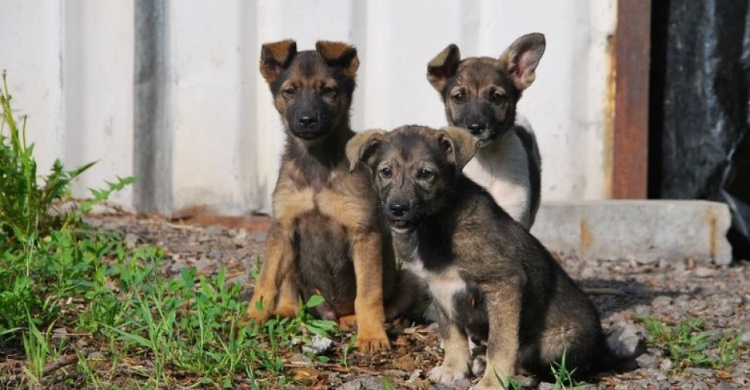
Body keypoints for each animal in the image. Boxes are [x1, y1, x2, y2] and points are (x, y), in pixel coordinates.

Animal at [245, 40, 418, 354]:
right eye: (290, 91)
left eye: (328, 90)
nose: (307, 120)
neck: (317, 161)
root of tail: (329, 313)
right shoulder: (283, 227)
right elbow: (266, 281)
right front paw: (252, 317)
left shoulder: (364, 233)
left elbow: (368, 294)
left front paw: (371, 335)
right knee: (289, 286)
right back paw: (287, 311)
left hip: (409, 280)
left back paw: (353, 321)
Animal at [348, 126, 628, 388]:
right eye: (386, 172)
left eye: (426, 174)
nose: (397, 208)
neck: (436, 224)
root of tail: (603, 348)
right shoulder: (439, 288)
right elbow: (453, 335)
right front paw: (453, 368)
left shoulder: (505, 283)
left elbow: (501, 343)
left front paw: (493, 382)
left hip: (558, 344)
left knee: (530, 358)